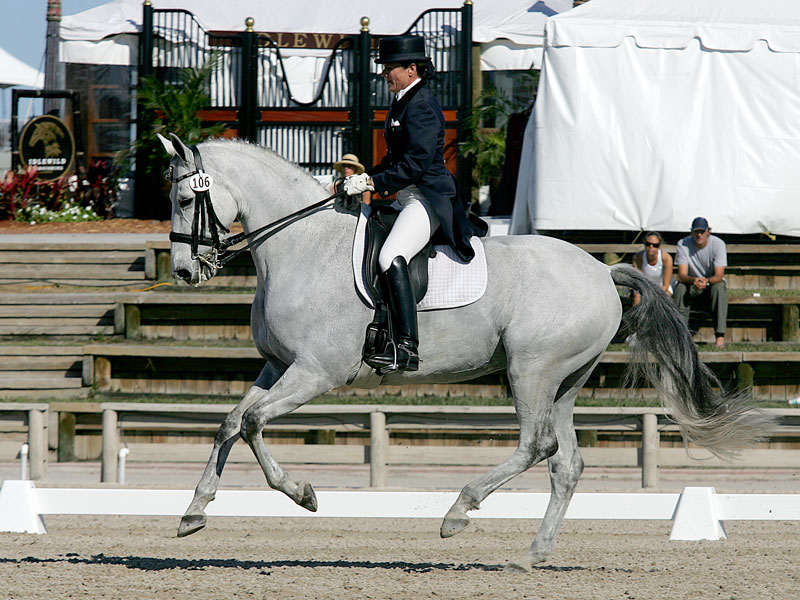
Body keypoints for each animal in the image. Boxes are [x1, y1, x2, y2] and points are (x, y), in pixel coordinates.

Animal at [159, 133, 773, 572]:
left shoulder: (315, 372)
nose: (186, 272)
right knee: (566, 463)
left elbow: (255, 423)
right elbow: (230, 422)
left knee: (538, 445)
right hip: (565, 381)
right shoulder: (278, 366)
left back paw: (457, 512)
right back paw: (531, 555)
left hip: (530, 369)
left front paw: (303, 493)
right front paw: (193, 512)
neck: (301, 248)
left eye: (188, 198)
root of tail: (602, 270)